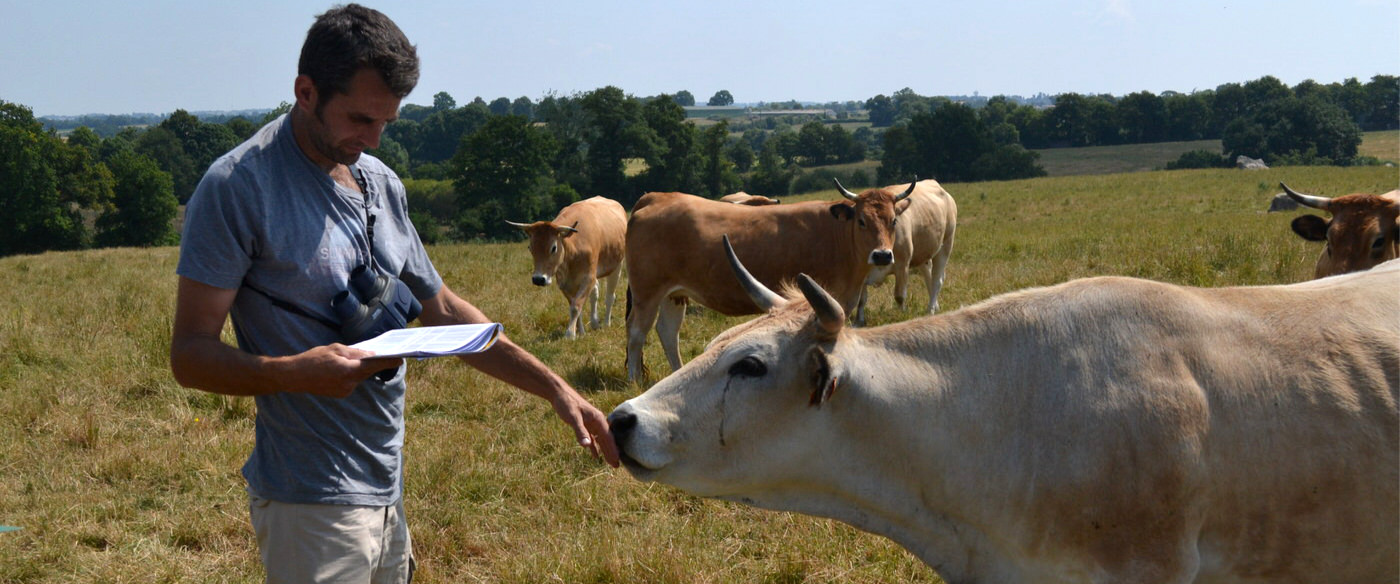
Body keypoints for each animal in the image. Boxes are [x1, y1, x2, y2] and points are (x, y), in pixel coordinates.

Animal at [506, 196, 627, 336]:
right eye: (530, 247)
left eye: (553, 248)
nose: (538, 279)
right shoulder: (564, 282)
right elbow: (574, 304)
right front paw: (580, 332)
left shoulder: (588, 278)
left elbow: (576, 306)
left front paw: (570, 334)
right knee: (595, 293)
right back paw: (594, 322)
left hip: (617, 265)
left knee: (610, 296)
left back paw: (607, 323)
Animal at [627, 182, 918, 380]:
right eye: (861, 220)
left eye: (893, 220)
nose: (882, 255)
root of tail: (657, 197)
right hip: (646, 293)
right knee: (636, 334)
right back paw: (635, 380)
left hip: (674, 294)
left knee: (668, 332)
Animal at [845, 178, 957, 323]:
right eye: (861, 221)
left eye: (894, 220)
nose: (882, 256)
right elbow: (861, 299)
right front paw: (859, 322)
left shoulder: (902, 266)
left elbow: (899, 296)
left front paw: (902, 315)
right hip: (923, 253)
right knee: (929, 276)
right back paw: (936, 307)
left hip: (946, 245)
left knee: (937, 280)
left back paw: (930, 310)